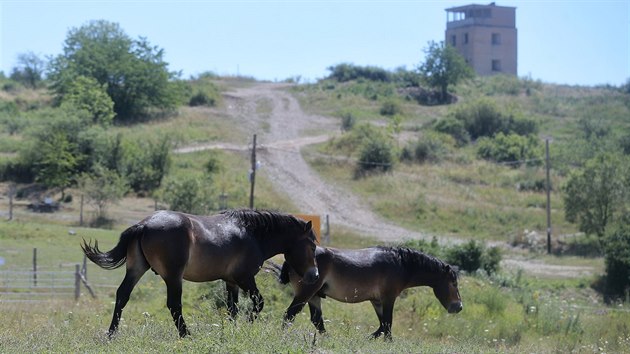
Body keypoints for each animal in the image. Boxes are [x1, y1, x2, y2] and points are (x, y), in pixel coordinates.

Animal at [82, 209, 320, 338]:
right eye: (312, 246)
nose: (314, 275)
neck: (251, 234)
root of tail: (144, 225)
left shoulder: (231, 282)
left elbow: (232, 309)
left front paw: (233, 331)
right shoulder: (245, 278)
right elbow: (258, 303)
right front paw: (248, 325)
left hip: (136, 269)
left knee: (122, 295)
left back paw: (112, 333)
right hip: (173, 277)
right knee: (174, 305)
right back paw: (186, 335)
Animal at [276, 246, 464, 340]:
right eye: (453, 283)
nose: (459, 307)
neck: (400, 264)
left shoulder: (377, 301)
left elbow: (382, 325)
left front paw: (368, 338)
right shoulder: (388, 298)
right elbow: (387, 325)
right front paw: (388, 343)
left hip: (314, 296)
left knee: (316, 320)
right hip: (306, 294)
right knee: (290, 315)